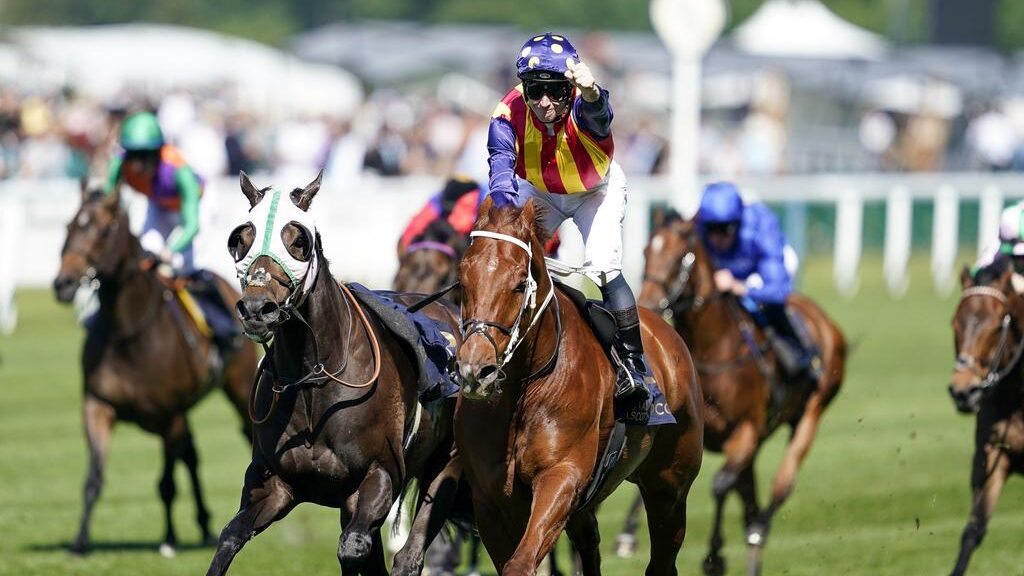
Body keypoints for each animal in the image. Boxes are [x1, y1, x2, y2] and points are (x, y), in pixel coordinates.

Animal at [54, 180, 258, 557]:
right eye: (70, 226)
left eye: (103, 230)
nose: (63, 284)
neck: (128, 332)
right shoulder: (97, 405)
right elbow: (93, 479)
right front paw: (80, 541)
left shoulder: (169, 415)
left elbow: (166, 483)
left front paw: (168, 539)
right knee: (191, 456)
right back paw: (204, 523)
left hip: (239, 388)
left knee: (240, 436)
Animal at [205, 171, 462, 573]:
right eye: (240, 240)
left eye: (299, 241)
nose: (257, 308)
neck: (314, 377)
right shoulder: (276, 484)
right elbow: (230, 536)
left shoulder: (379, 476)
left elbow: (353, 547)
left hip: (447, 464)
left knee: (409, 554)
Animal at [456, 194, 704, 569]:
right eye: (463, 279)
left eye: (519, 283)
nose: (475, 368)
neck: (523, 391)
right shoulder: (490, 500)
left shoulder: (562, 477)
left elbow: (521, 562)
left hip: (669, 488)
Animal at [638, 211, 847, 573]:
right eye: (646, 251)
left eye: (679, 257)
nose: (647, 303)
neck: (715, 351)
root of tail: (828, 324)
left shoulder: (746, 430)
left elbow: (720, 485)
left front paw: (714, 556)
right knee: (750, 499)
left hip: (810, 413)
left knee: (779, 487)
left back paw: (759, 530)